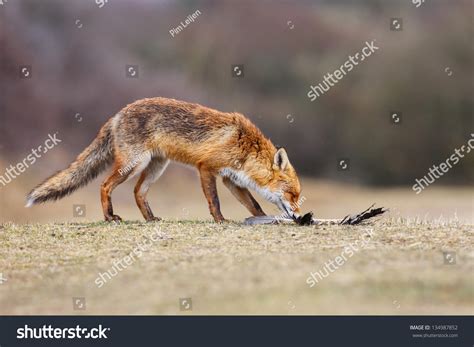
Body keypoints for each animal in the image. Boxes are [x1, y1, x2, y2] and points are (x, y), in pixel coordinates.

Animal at [25, 98, 302, 223]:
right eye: (292, 194)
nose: (300, 215)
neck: (245, 146)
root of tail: (117, 114)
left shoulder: (230, 179)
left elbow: (253, 205)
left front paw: (263, 219)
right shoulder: (206, 168)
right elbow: (214, 201)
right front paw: (220, 221)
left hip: (156, 167)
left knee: (138, 192)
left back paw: (150, 219)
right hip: (133, 164)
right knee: (104, 185)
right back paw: (110, 217)